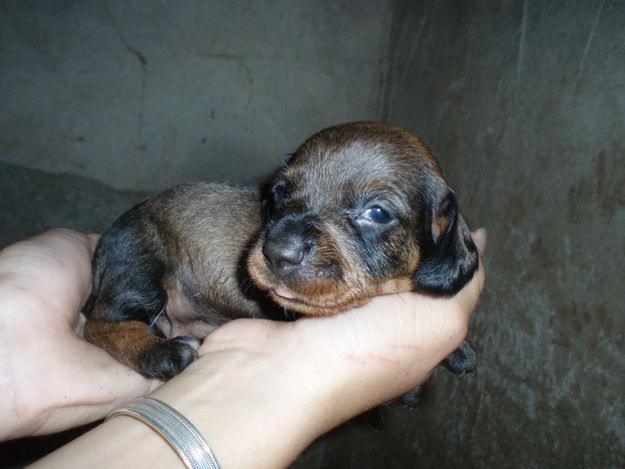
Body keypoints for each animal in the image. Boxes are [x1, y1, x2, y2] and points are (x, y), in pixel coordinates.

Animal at [83, 120, 478, 376]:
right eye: (282, 192)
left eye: (377, 213)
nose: (277, 253)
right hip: (139, 265)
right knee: (102, 325)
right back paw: (161, 352)